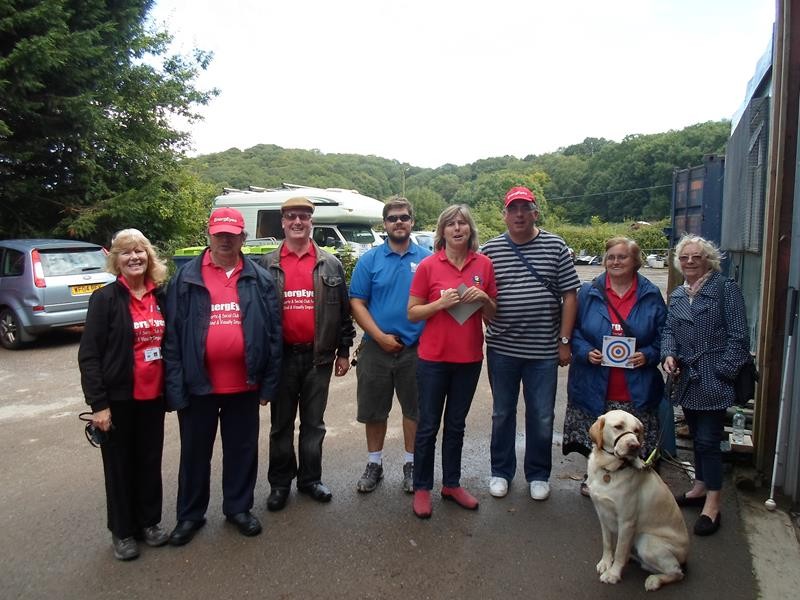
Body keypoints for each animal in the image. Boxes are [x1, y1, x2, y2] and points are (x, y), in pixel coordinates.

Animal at [584, 410, 692, 592]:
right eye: (618, 426)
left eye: (636, 431)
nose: (634, 446)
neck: (609, 471)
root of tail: (685, 556)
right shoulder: (602, 514)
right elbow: (607, 543)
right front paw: (606, 563)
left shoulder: (627, 521)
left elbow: (619, 551)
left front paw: (613, 574)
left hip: (647, 541)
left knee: (677, 572)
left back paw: (654, 580)